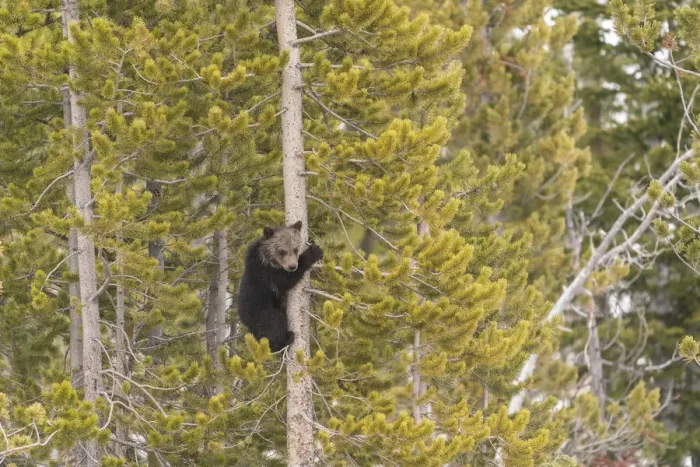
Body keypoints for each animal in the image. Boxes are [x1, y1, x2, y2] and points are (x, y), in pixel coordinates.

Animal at [237, 220, 324, 352]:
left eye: (295, 249)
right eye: (282, 251)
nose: (292, 266)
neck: (268, 259)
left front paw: (312, 241)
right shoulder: (265, 272)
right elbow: (285, 280)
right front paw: (312, 252)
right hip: (262, 310)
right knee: (274, 324)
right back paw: (285, 339)